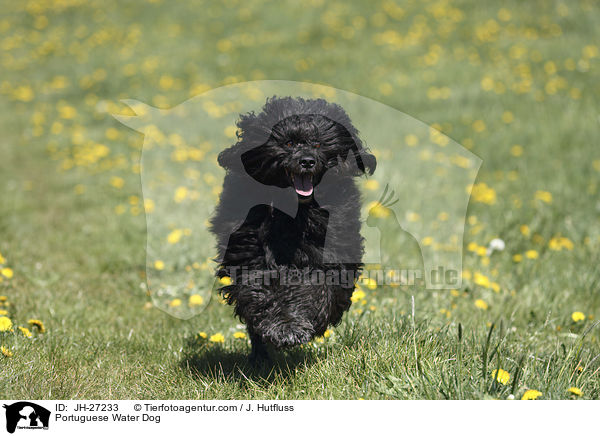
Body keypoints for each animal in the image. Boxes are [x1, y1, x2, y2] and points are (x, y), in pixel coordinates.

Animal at [212, 96, 376, 364]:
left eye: (318, 144)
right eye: (288, 143)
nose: (307, 161)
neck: (294, 212)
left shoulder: (328, 254)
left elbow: (315, 288)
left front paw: (295, 324)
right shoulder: (251, 253)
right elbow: (262, 287)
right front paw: (284, 326)